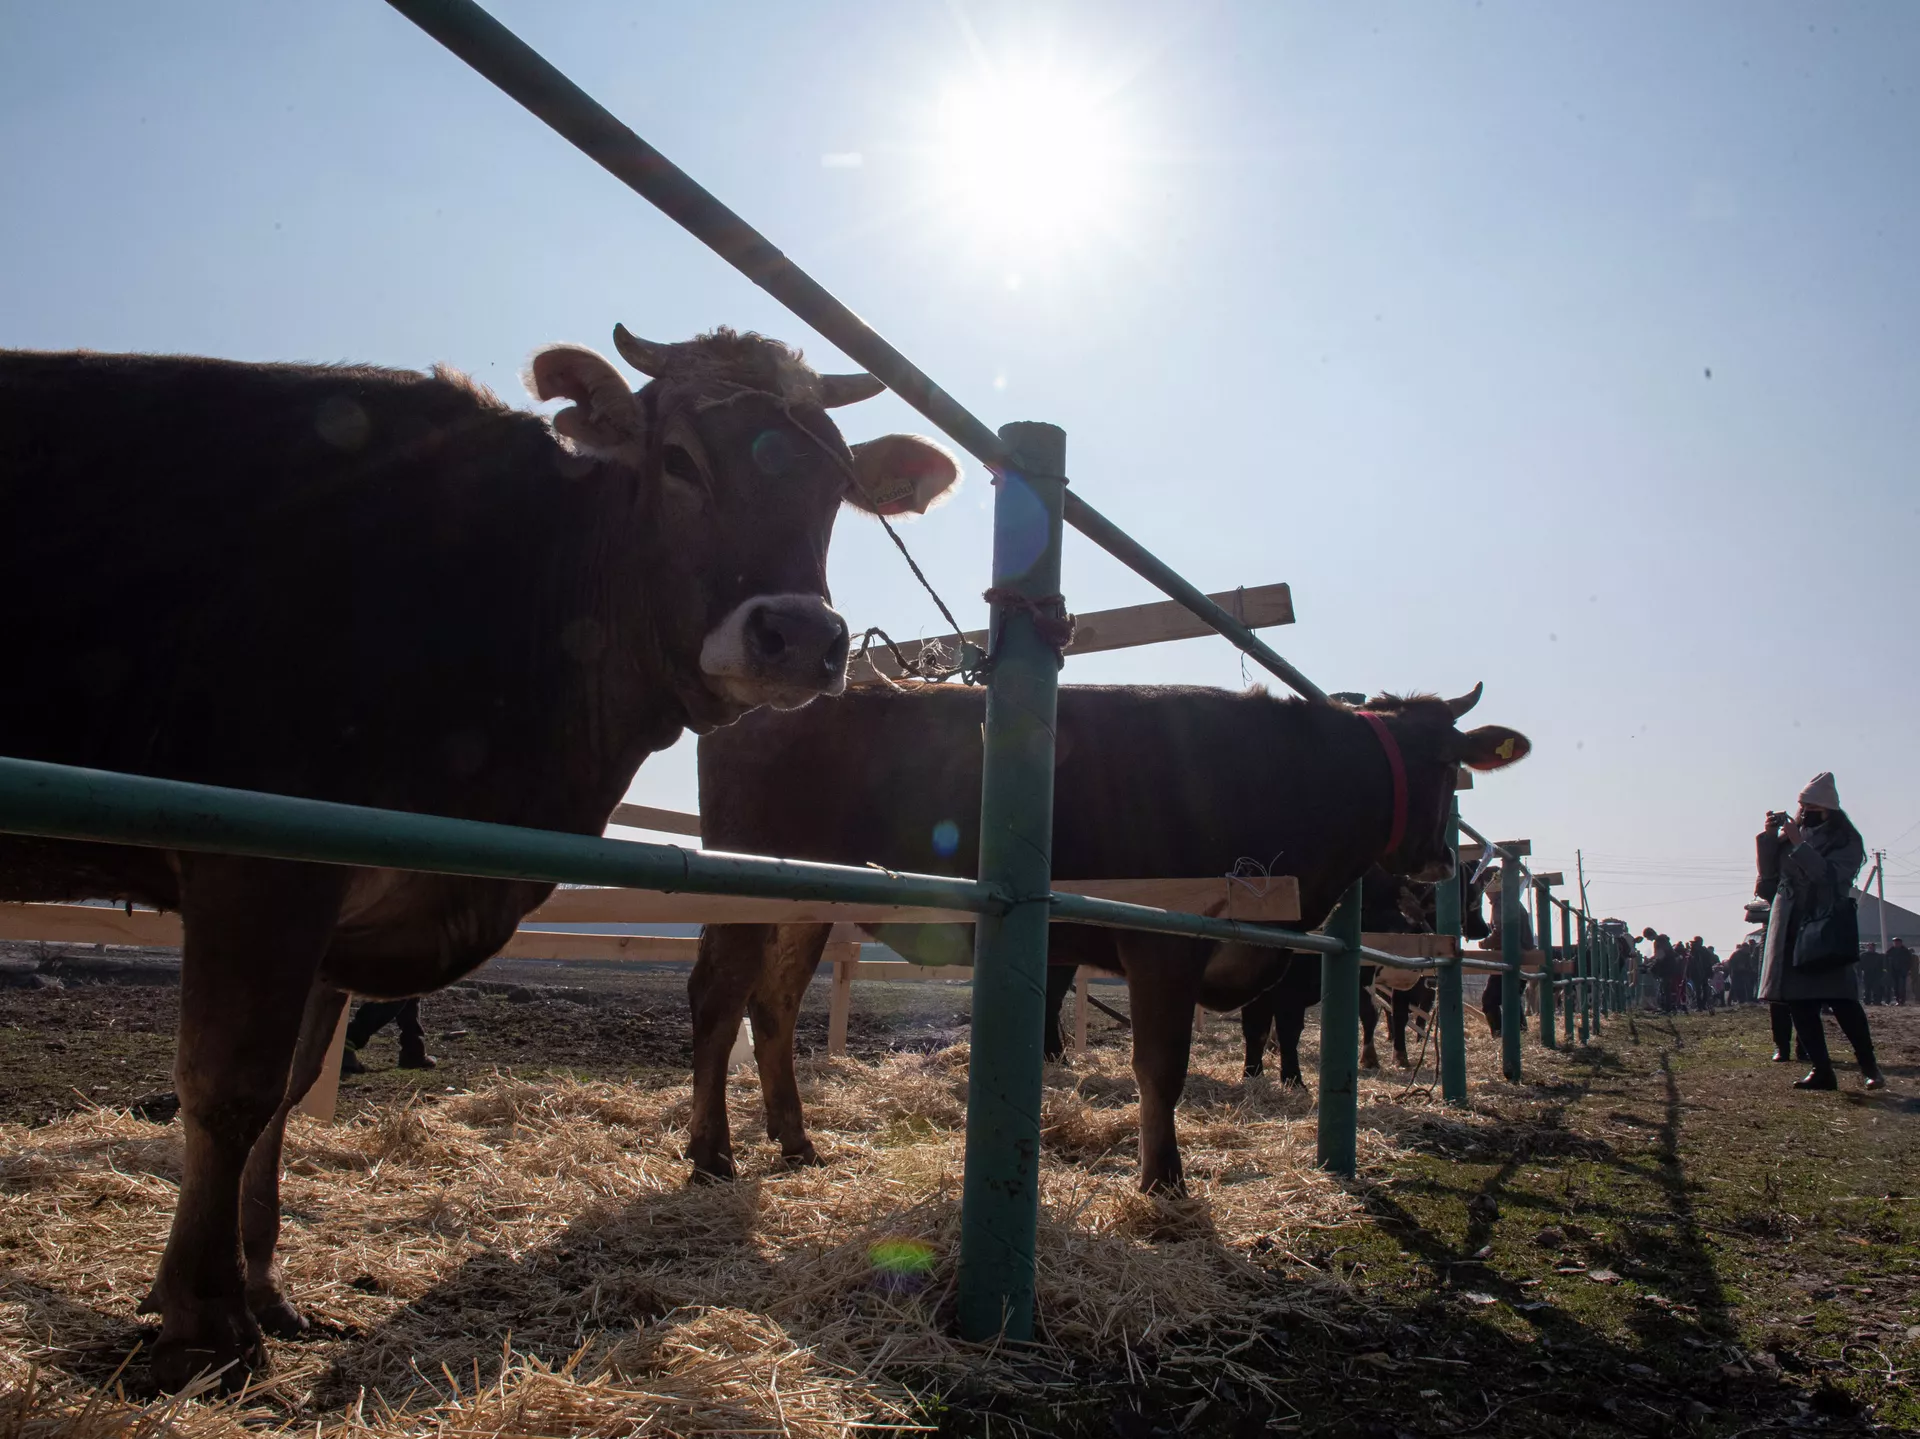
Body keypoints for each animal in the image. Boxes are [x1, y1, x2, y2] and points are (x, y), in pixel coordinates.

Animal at [0, 327, 960, 1390]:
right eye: (677, 459)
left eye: (837, 486)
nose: (800, 637)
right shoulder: (265, 867)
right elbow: (231, 1083)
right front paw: (205, 1325)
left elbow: (288, 1087)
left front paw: (262, 1284)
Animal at [686, 682, 1530, 1195]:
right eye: (1441, 766)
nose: (1437, 857)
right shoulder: (1163, 940)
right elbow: (1161, 1066)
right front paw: (1164, 1179)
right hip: (742, 883)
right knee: (717, 1000)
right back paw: (713, 1153)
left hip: (804, 899)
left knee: (774, 1006)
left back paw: (796, 1141)